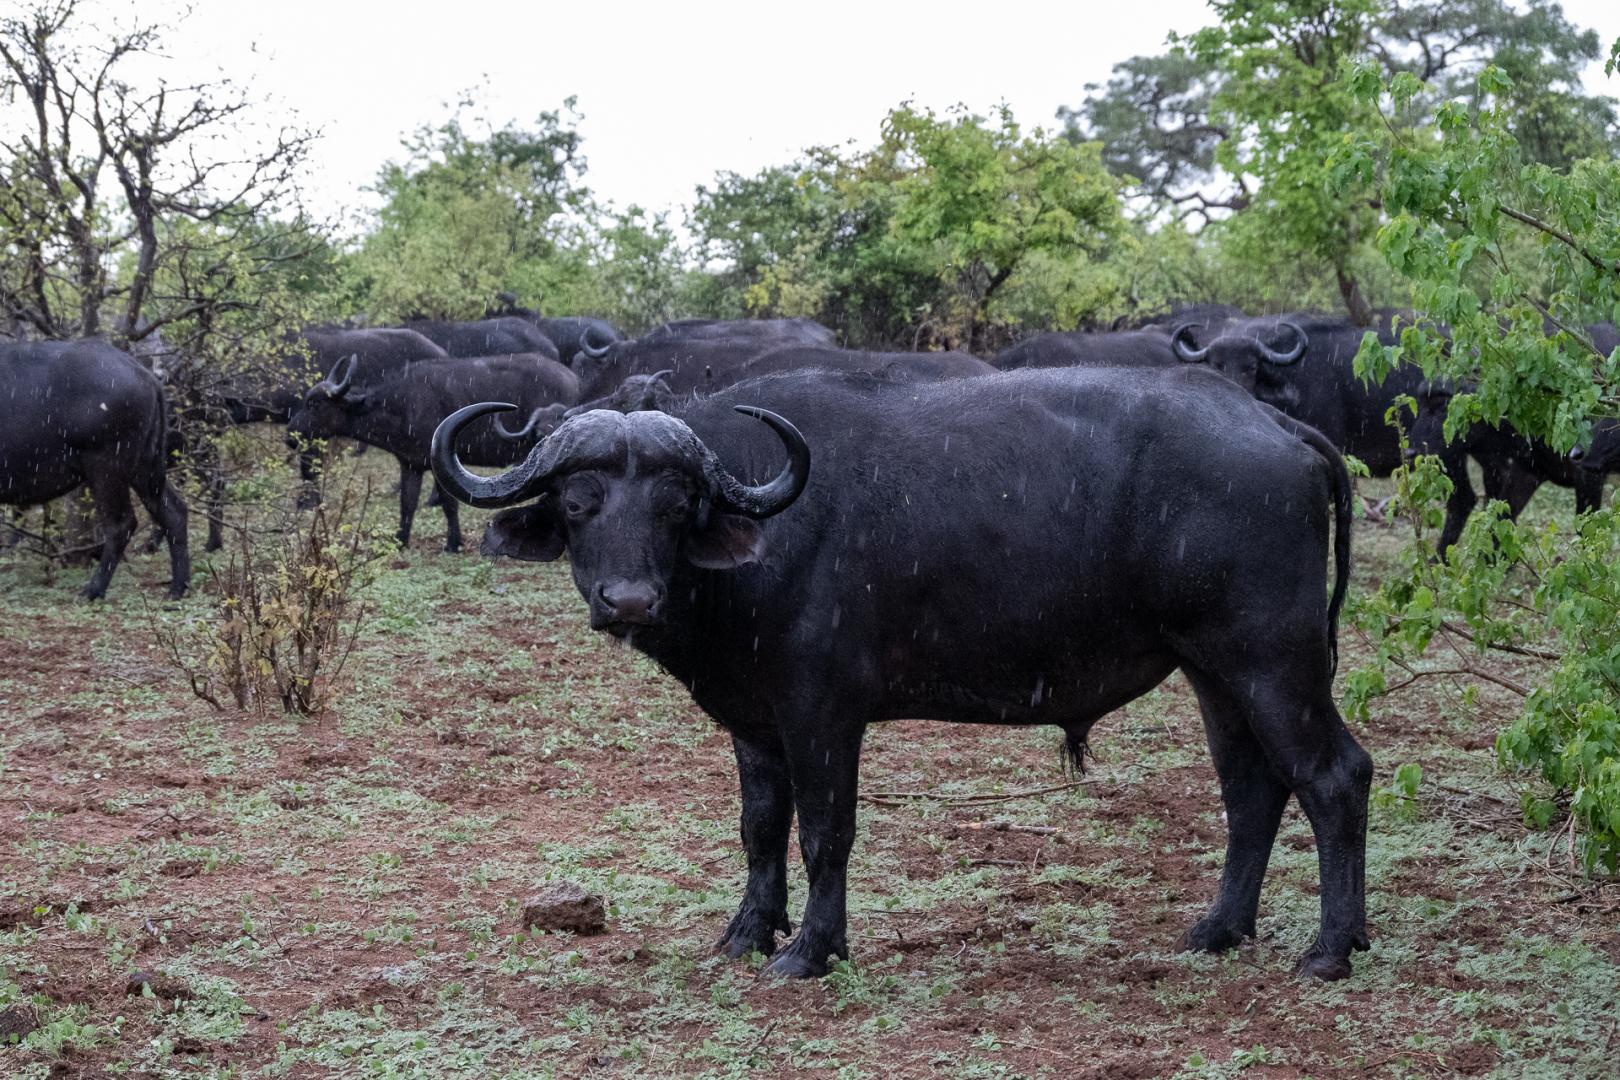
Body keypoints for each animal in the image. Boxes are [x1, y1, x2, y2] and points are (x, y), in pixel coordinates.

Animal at [1, 340, 189, 599]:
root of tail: (144, 374)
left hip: (106, 468)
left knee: (121, 524)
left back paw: (93, 590)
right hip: (144, 466)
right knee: (174, 513)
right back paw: (177, 588)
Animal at [286, 353, 577, 550]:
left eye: (313, 404)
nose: (290, 435)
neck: (402, 405)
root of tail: (569, 377)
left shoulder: (441, 466)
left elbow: (449, 504)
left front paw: (453, 542)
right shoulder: (410, 464)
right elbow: (407, 502)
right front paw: (401, 540)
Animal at [430, 365, 1372, 983]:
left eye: (674, 505)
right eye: (579, 503)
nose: (629, 600)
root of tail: (1276, 426)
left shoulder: (823, 714)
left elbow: (826, 832)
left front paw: (810, 951)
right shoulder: (755, 723)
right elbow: (760, 829)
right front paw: (746, 933)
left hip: (1274, 660)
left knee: (1335, 775)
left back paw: (1331, 948)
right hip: (1214, 671)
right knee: (1252, 788)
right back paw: (1218, 930)